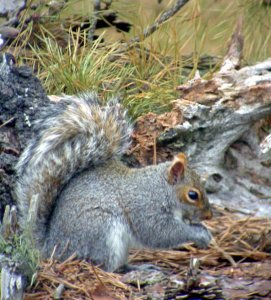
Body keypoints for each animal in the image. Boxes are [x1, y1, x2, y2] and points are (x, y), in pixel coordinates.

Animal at [15, 92, 215, 274]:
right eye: (192, 195)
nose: (208, 215)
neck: (160, 189)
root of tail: (52, 248)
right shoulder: (146, 209)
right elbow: (161, 233)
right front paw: (200, 235)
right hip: (101, 231)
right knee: (107, 267)